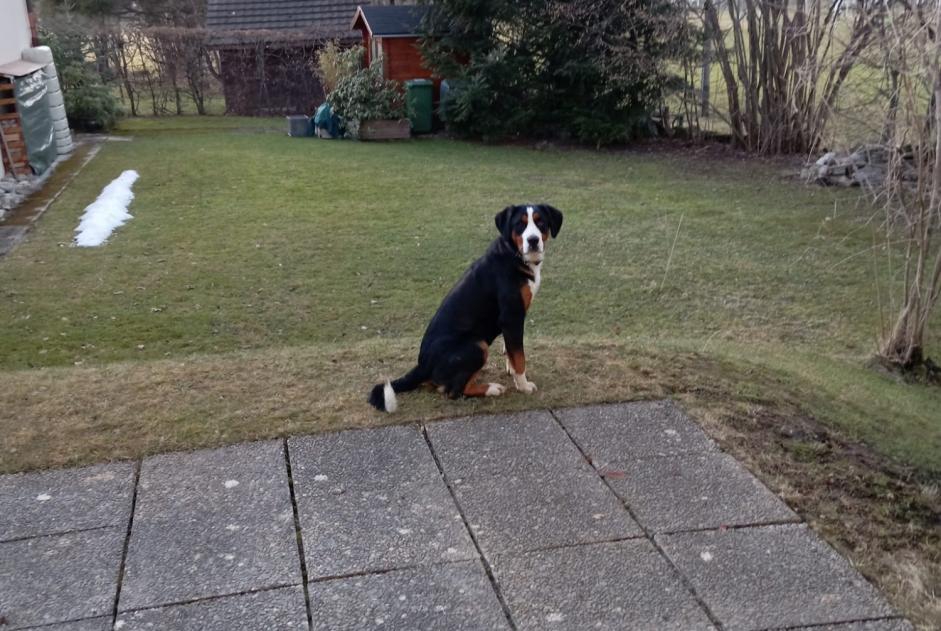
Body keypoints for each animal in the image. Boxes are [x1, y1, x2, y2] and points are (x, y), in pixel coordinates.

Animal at [366, 204, 560, 414]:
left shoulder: (511, 322)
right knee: (454, 391)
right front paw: (523, 385)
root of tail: (422, 365)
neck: (513, 254)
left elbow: (512, 350)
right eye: (520, 224)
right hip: (477, 345)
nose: (533, 240)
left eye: (540, 222)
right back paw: (492, 388)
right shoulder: (511, 316)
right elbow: (519, 357)